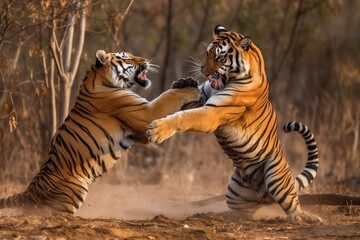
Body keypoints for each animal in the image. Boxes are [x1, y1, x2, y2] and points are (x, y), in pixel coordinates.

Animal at [0, 49, 200, 215]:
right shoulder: (147, 113)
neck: (100, 80)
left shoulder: (140, 132)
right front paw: (191, 89)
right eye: (127, 58)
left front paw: (185, 82)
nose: (146, 60)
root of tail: (29, 191)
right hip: (75, 190)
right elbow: (169, 96)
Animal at [148, 25, 360, 222]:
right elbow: (177, 99)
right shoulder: (204, 97)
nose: (205, 73)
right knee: (245, 211)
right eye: (207, 53)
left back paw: (305, 217)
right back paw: (222, 215)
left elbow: (184, 117)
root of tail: (265, 195)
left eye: (220, 58)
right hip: (234, 193)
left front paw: (157, 130)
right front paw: (183, 83)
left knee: (291, 203)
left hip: (275, 174)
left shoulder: (212, 113)